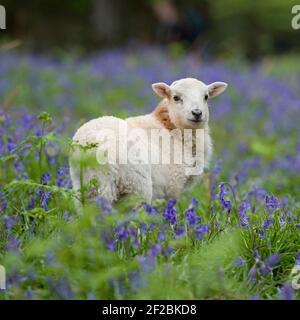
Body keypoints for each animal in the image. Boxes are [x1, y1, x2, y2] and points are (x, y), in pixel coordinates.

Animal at [69, 77, 227, 202]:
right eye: (176, 97)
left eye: (206, 97)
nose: (197, 113)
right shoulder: (173, 186)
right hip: (135, 186)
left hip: (85, 188)